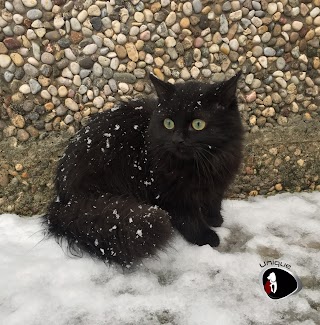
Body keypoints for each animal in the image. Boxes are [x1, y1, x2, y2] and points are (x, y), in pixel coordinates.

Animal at [43, 73, 244, 266]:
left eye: (198, 124)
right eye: (169, 123)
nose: (177, 140)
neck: (204, 164)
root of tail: (63, 201)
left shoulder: (218, 184)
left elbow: (213, 202)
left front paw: (215, 219)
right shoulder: (169, 194)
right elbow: (189, 219)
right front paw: (206, 236)